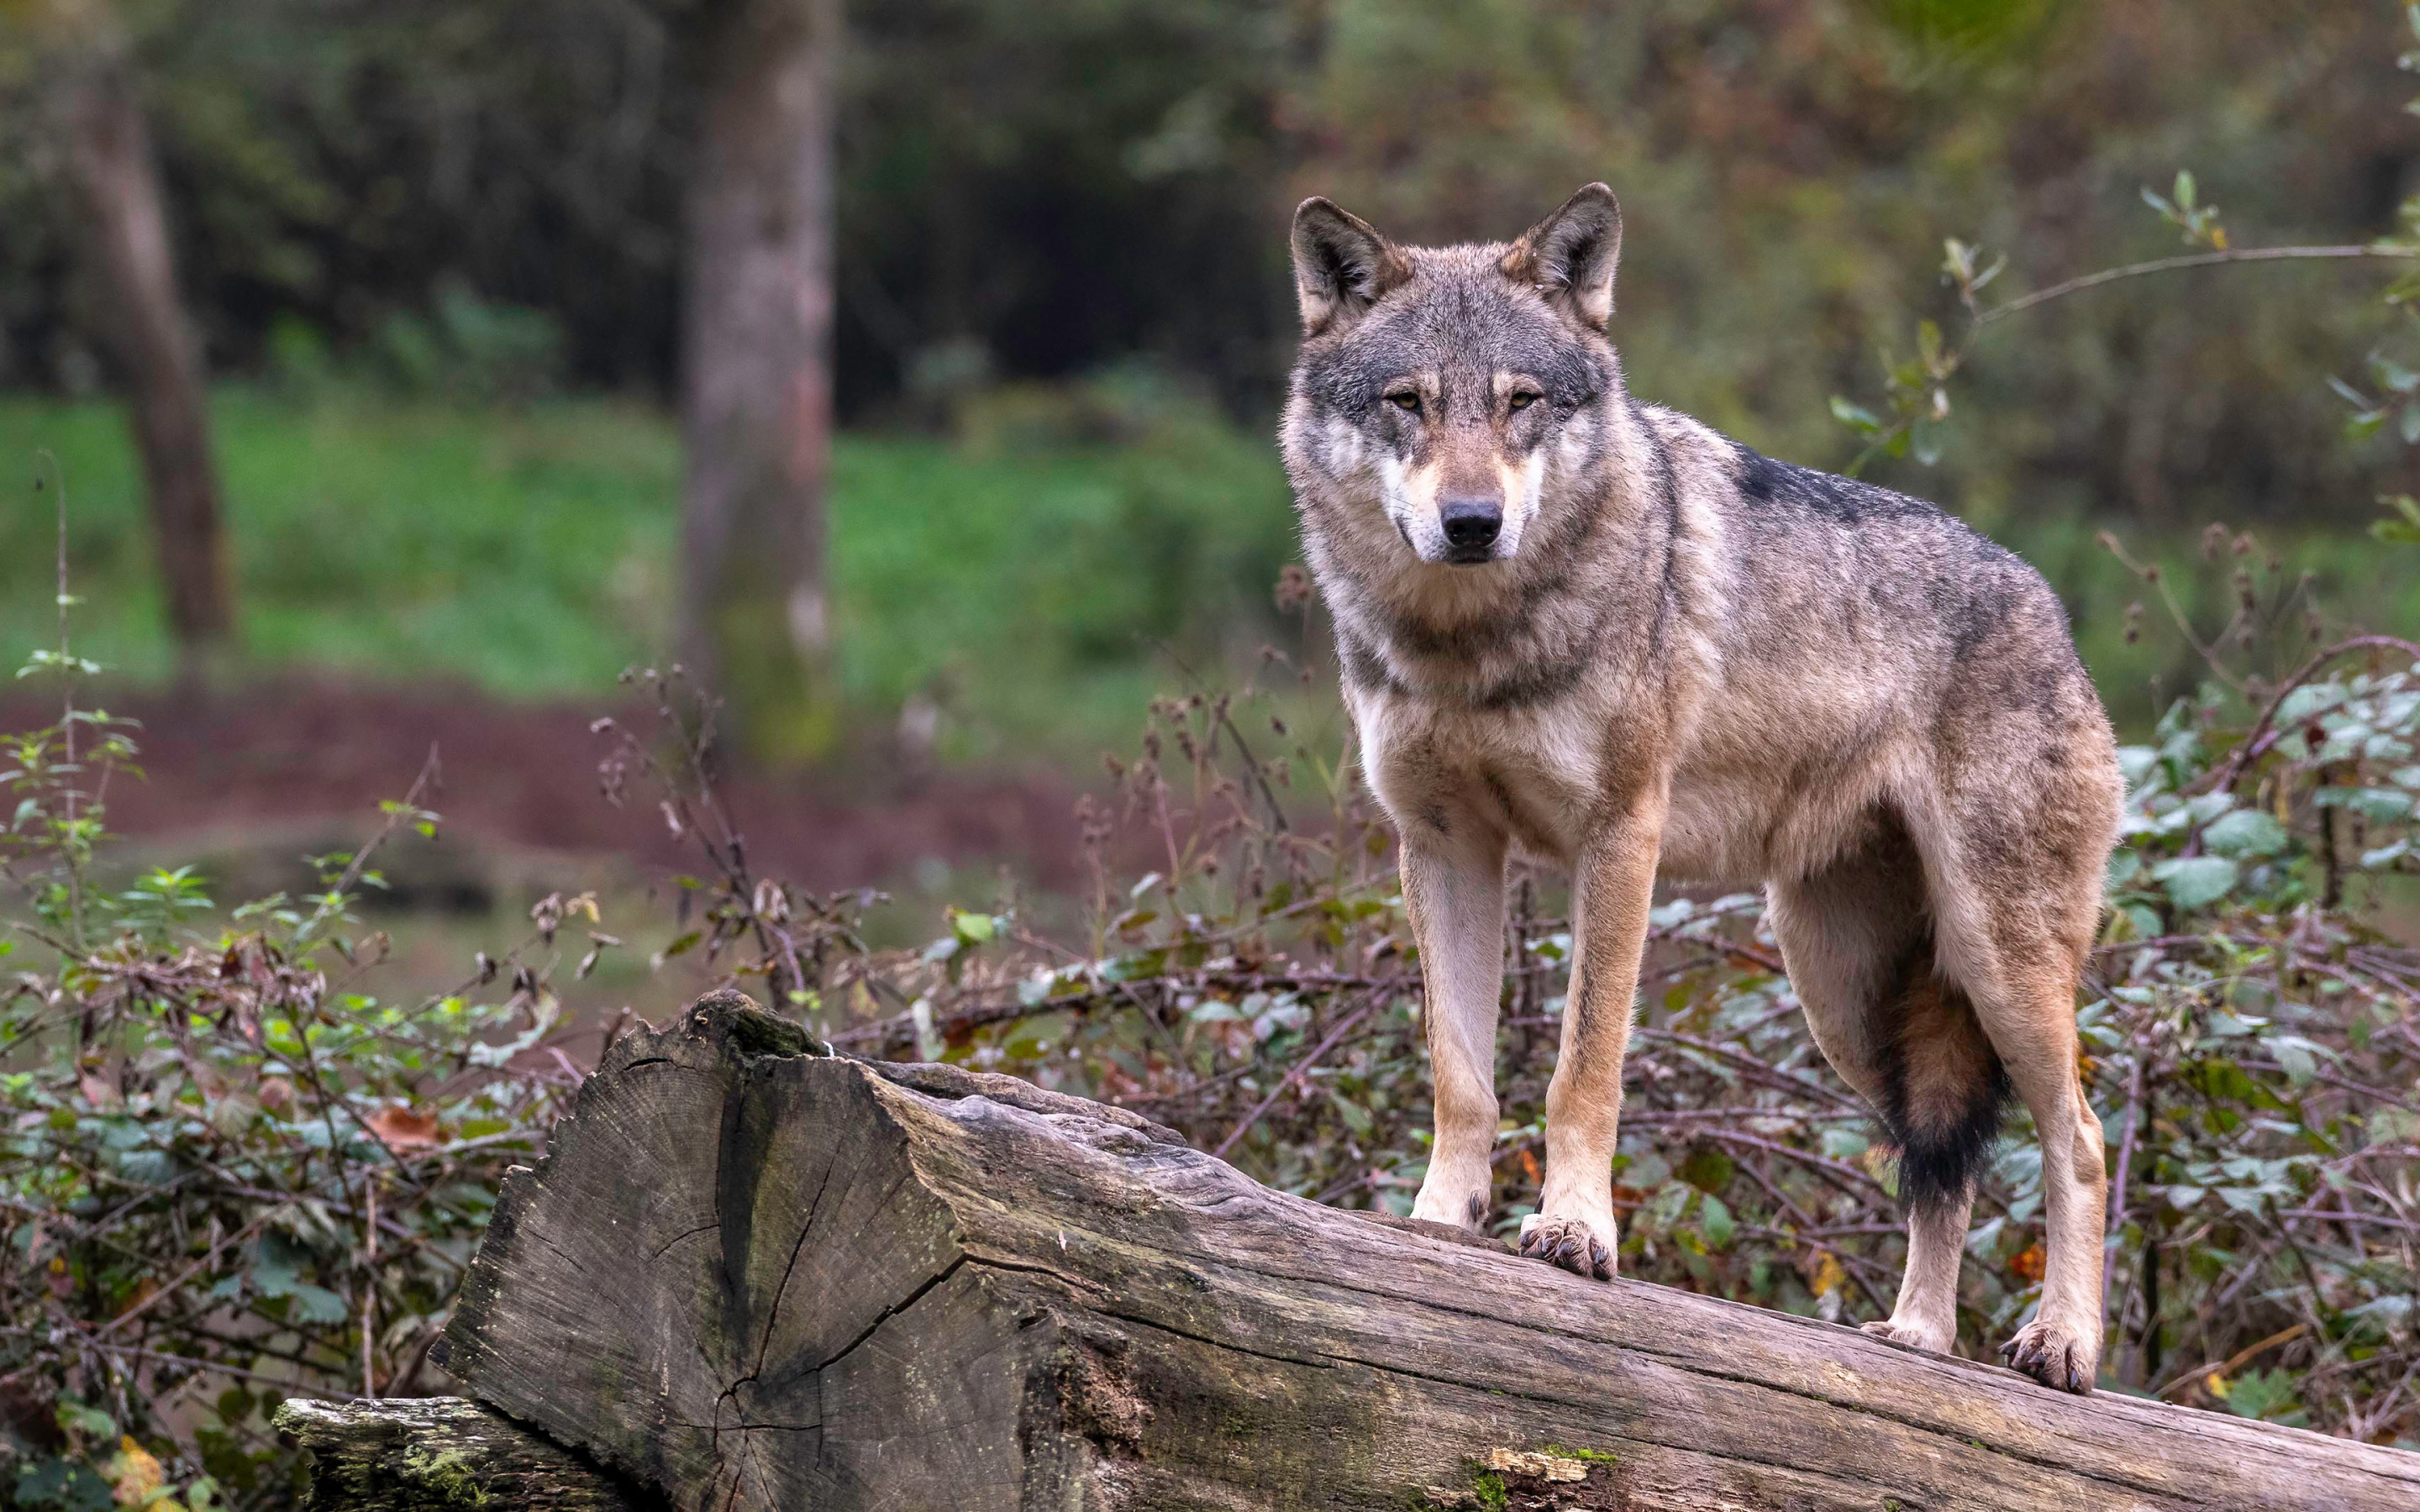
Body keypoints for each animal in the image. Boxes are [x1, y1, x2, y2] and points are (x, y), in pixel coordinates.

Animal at [1287, 186, 2119, 1393]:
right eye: (1408, 403)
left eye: (1521, 403)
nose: (1473, 523)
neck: (1471, 647)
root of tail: (2054, 613)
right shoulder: (1442, 847)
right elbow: (1461, 1074)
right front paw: (1437, 1225)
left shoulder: (1618, 840)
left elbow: (1582, 1070)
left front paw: (1575, 1235)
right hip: (1846, 999)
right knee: (1944, 1167)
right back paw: (1917, 1340)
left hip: (1995, 964)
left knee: (2083, 1139)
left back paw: (2062, 1343)